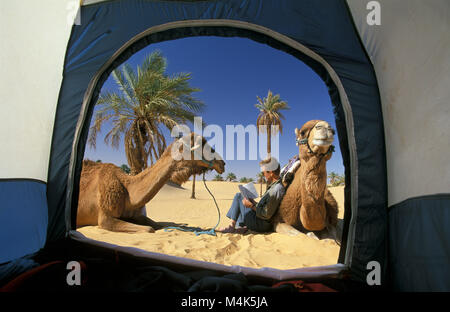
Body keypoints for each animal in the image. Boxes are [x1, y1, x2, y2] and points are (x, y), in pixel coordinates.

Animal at [78, 133, 225, 233]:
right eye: (203, 144)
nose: (222, 163)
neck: (128, 192)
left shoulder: (136, 215)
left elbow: (157, 225)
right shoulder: (105, 218)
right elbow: (149, 229)